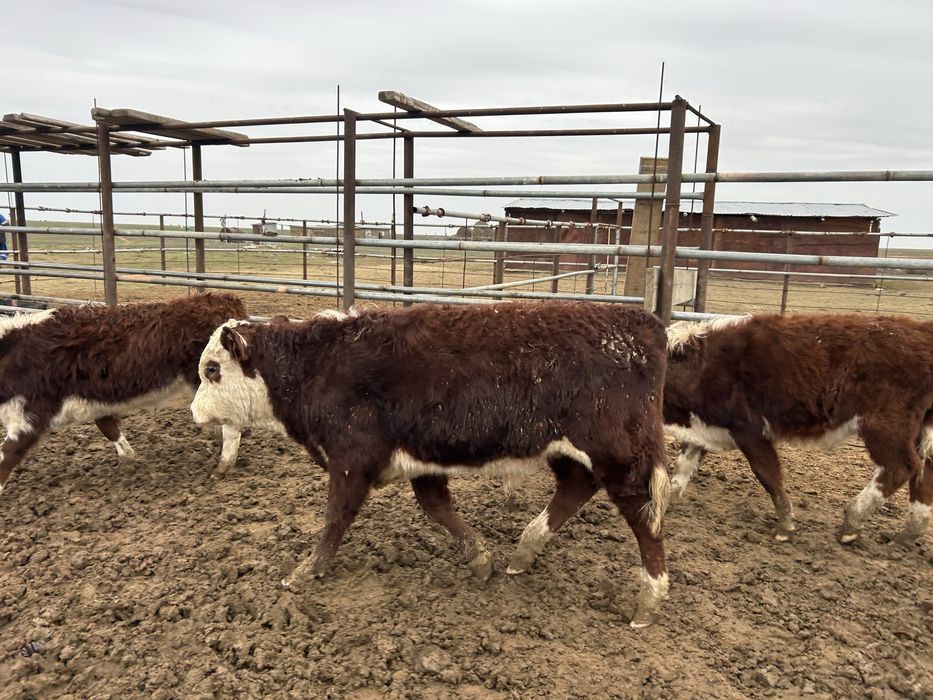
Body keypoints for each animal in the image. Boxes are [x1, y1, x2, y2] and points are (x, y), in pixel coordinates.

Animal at [0, 293, 249, 495]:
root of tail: (223, 300)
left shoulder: (28, 417)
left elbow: (6, 456)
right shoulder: (94, 402)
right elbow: (109, 428)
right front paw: (128, 461)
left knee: (232, 425)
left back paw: (222, 467)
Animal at [190, 302, 672, 627]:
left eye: (212, 369)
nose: (194, 413)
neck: (318, 365)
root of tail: (641, 324)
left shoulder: (351, 460)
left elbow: (336, 518)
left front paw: (305, 571)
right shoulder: (420, 463)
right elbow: (437, 508)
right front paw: (481, 559)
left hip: (623, 459)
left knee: (644, 518)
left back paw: (649, 600)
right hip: (570, 452)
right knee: (576, 486)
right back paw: (524, 552)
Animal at [663, 313, 933, 546]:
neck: (701, 367)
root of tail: (921, 330)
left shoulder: (750, 431)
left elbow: (767, 474)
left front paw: (785, 525)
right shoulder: (701, 426)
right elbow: (682, 466)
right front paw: (666, 502)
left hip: (884, 425)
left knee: (901, 467)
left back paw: (852, 522)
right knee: (924, 470)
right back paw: (908, 534)